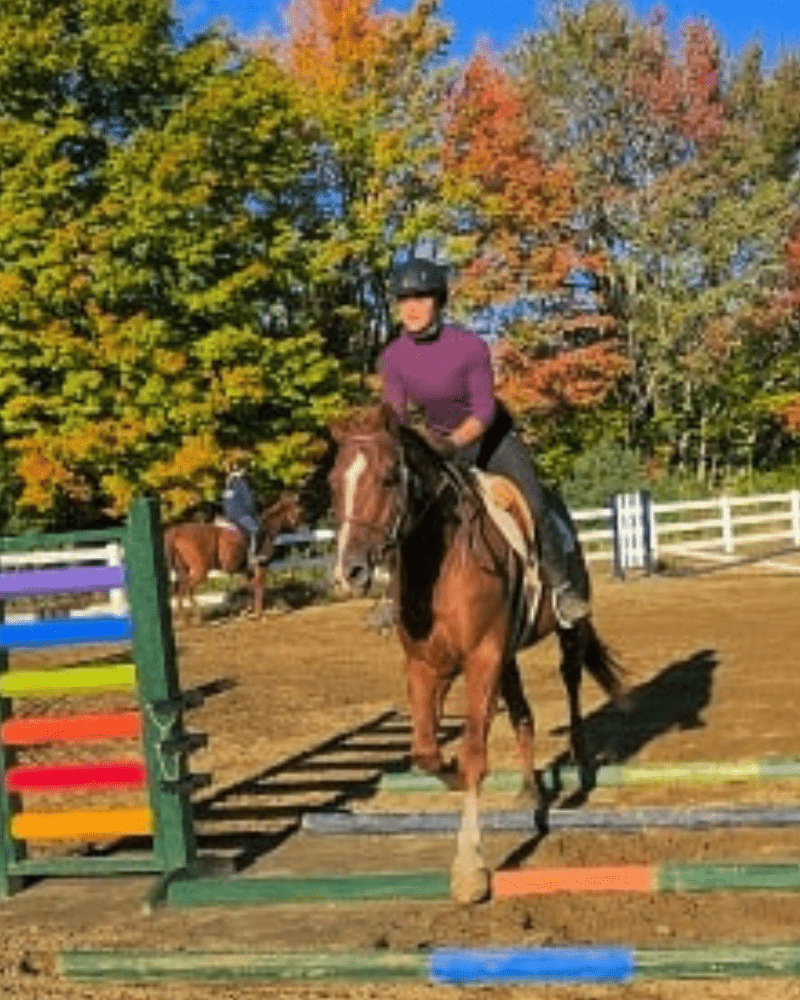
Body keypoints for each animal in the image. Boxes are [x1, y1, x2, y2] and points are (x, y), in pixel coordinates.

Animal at [164, 494, 302, 624]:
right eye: (296, 509)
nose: (298, 526)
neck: (266, 531)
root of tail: (177, 531)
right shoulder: (261, 566)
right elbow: (259, 588)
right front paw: (259, 614)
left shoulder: (249, 570)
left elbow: (249, 589)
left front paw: (247, 611)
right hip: (200, 571)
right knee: (187, 589)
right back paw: (197, 618)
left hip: (183, 570)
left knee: (180, 589)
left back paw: (184, 619)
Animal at [328, 404, 628, 908]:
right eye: (333, 482)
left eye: (389, 478)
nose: (348, 572)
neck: (438, 560)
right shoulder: (426, 665)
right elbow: (426, 751)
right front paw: (447, 774)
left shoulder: (480, 659)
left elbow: (472, 754)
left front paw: (470, 867)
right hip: (506, 658)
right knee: (523, 715)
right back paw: (528, 790)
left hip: (567, 629)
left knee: (571, 677)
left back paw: (582, 757)